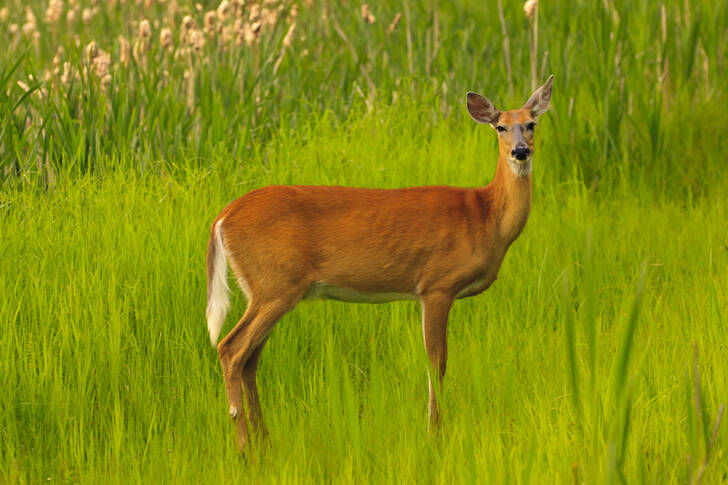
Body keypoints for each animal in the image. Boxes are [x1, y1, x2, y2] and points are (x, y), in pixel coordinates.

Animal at [208, 75, 556, 450]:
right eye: (500, 126)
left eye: (532, 123)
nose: (520, 151)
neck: (485, 216)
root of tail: (223, 217)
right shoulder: (437, 285)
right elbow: (437, 362)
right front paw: (435, 433)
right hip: (275, 284)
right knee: (231, 348)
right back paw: (244, 446)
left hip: (265, 289)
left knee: (250, 358)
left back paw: (264, 442)